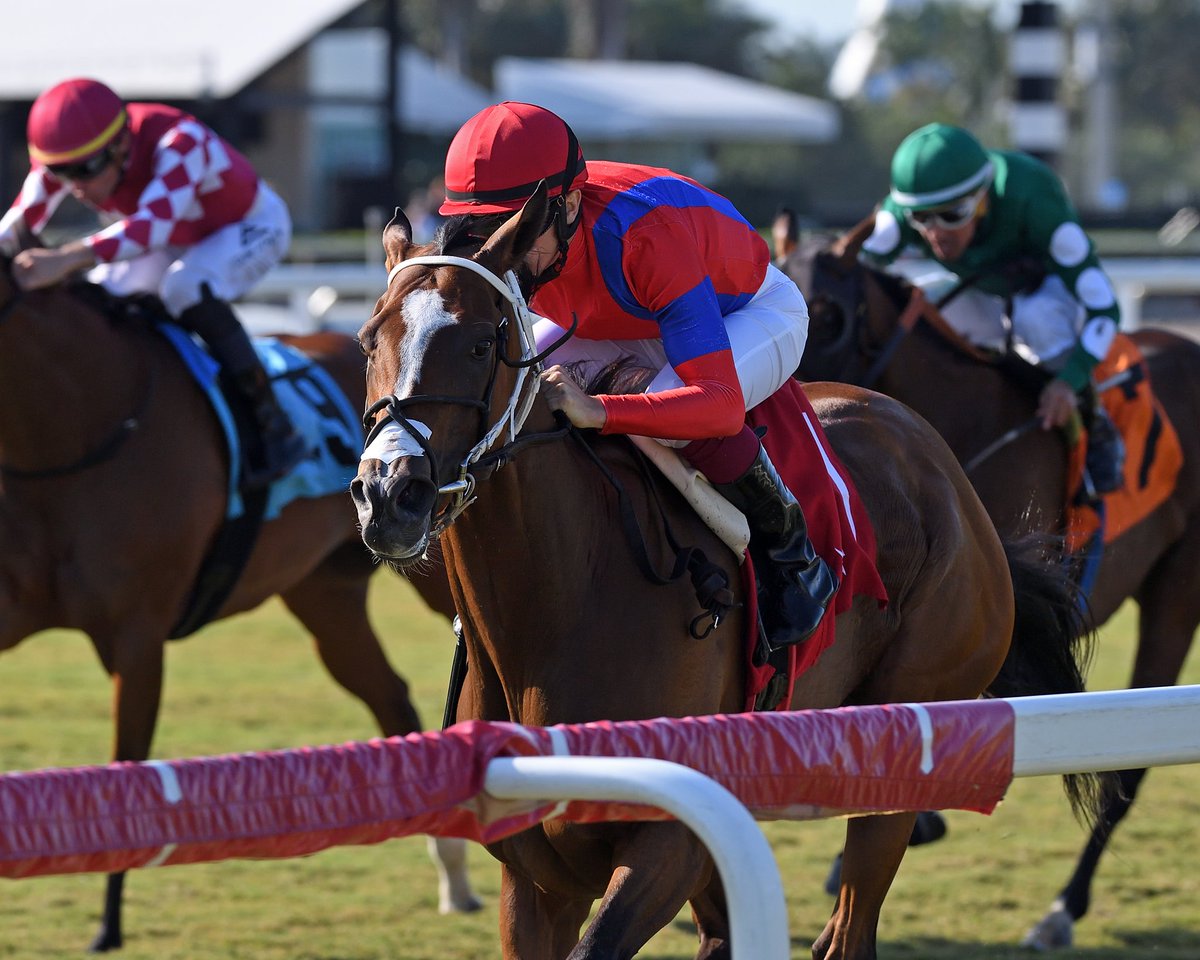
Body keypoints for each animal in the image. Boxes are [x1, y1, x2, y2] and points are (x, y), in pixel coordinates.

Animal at [0, 254, 477, 950]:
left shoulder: (136, 637)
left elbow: (127, 768)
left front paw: (108, 925)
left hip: (432, 572)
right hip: (325, 596)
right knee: (391, 696)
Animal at [350, 182, 1104, 960]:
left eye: (478, 343)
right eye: (369, 340)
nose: (389, 494)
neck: (556, 609)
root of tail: (945, 468)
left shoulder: (669, 842)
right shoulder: (538, 879)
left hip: (913, 724)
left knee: (852, 923)